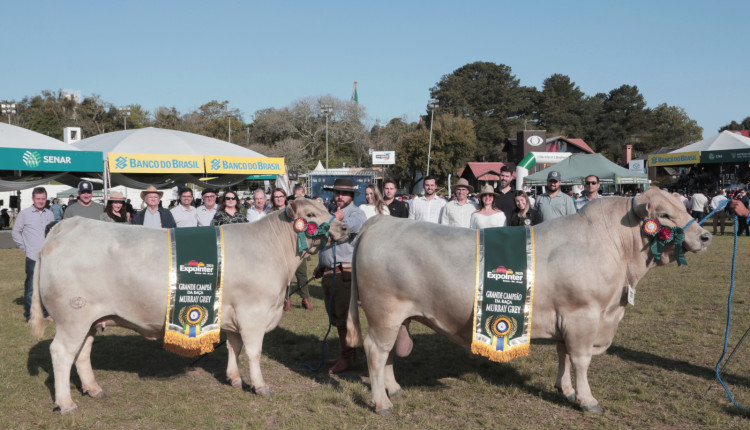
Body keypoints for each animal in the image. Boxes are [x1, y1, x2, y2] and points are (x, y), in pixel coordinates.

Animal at [27, 198, 348, 414]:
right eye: (310, 215)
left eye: (326, 209)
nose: (344, 226)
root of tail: (66, 227)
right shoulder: (253, 313)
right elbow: (254, 352)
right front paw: (260, 386)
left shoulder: (234, 316)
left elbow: (234, 348)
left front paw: (234, 379)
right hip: (73, 316)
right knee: (61, 353)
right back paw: (66, 403)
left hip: (92, 319)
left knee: (82, 353)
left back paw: (93, 390)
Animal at [350, 187, 712, 414]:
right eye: (664, 215)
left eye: (683, 208)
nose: (705, 236)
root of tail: (381, 221)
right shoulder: (583, 315)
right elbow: (581, 360)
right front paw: (587, 399)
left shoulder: (568, 317)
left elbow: (563, 355)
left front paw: (565, 390)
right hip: (384, 312)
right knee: (375, 351)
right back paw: (381, 403)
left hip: (397, 317)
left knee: (388, 353)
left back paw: (393, 389)